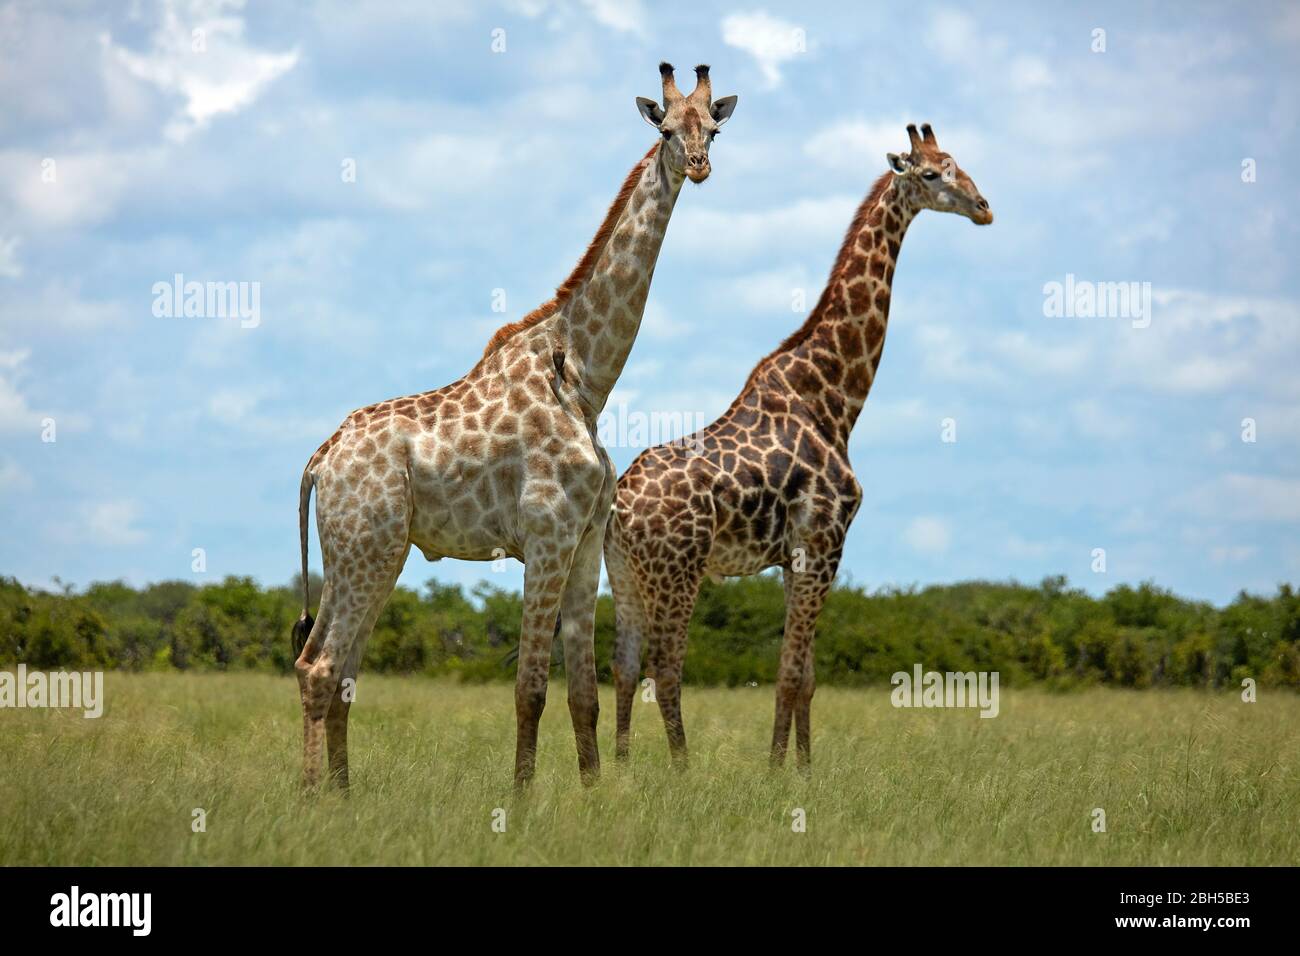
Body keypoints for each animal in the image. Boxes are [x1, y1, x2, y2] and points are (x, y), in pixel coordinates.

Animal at [295, 63, 743, 790]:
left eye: (715, 127)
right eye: (666, 130)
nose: (699, 166)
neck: (586, 379)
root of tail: (319, 458)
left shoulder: (585, 544)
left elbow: (584, 694)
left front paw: (593, 796)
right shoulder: (545, 538)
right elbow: (530, 688)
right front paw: (525, 797)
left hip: (360, 553)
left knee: (333, 672)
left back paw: (340, 794)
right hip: (369, 549)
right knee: (322, 668)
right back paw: (313, 799)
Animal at [603, 125, 987, 770]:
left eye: (961, 164)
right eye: (934, 174)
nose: (984, 208)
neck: (837, 398)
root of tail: (620, 508)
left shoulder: (794, 557)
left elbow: (806, 676)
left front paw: (803, 770)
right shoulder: (822, 543)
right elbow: (788, 675)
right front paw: (777, 772)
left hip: (625, 572)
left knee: (625, 667)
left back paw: (622, 771)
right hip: (678, 570)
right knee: (666, 668)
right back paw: (682, 772)